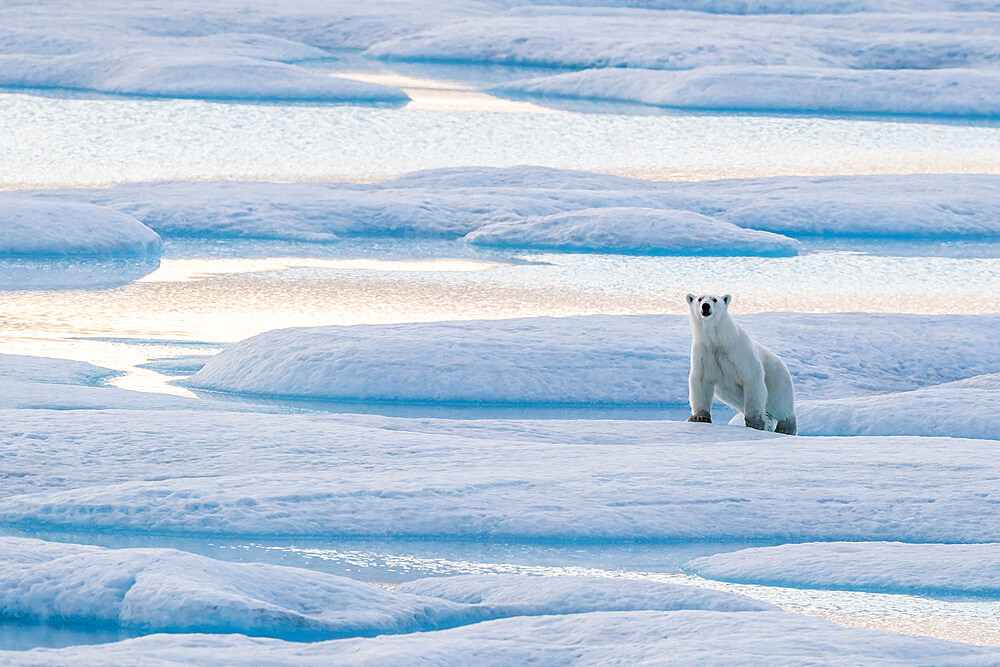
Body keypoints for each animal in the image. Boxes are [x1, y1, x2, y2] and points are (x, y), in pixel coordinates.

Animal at [680, 294, 796, 436]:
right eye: (700, 299)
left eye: (714, 299)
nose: (705, 306)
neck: (718, 341)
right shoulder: (704, 353)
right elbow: (700, 380)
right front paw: (699, 417)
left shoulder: (739, 352)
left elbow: (751, 378)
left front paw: (755, 422)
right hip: (732, 395)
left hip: (777, 379)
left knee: (781, 406)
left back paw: (785, 428)